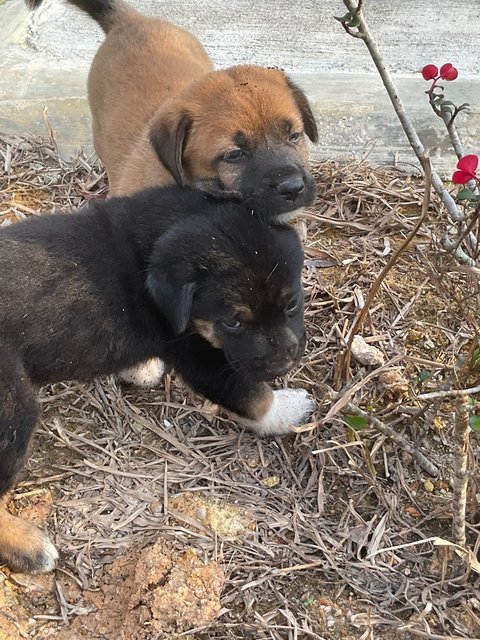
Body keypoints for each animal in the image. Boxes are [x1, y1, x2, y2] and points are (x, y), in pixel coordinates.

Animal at [0, 186, 316, 576]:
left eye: (292, 303)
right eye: (233, 323)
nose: (284, 362)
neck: (146, 252)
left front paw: (142, 368)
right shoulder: (197, 355)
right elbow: (252, 397)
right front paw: (291, 409)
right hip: (13, 412)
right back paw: (27, 546)